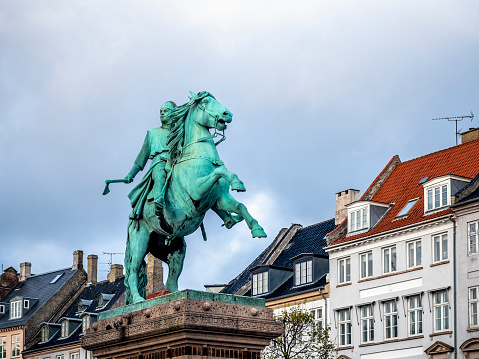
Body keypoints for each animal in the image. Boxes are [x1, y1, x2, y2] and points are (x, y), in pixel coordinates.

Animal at [124, 92, 266, 304]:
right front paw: (238, 182)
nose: (228, 114)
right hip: (140, 242)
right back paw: (138, 299)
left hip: (176, 250)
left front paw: (256, 228)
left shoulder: (220, 199)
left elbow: (240, 205)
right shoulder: (197, 190)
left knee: (171, 280)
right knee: (133, 270)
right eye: (206, 102)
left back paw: (175, 296)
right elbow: (222, 171)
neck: (198, 155)